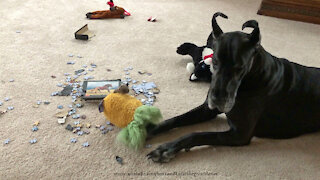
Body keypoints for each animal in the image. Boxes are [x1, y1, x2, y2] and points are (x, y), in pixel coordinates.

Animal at [146, 11, 320, 162]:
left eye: (240, 67)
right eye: (214, 61)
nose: (217, 99)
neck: (252, 77)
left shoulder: (239, 134)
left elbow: (196, 134)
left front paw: (167, 148)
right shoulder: (207, 109)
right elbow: (175, 119)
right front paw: (149, 129)